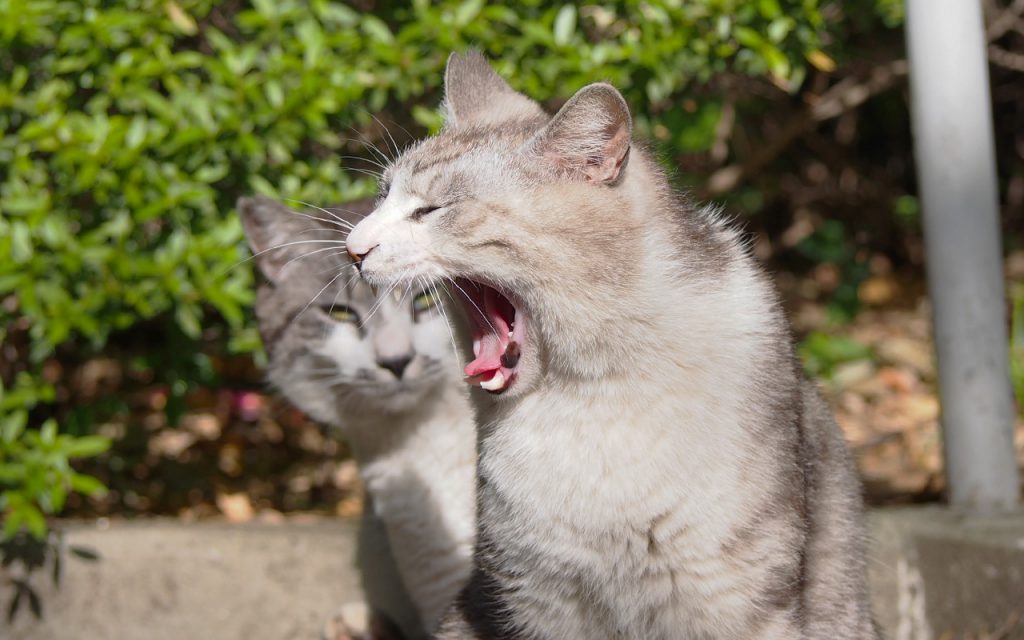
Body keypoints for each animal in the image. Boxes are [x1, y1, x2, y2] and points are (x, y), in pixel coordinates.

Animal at [346, 53, 880, 638]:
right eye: (384, 194)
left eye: (432, 210)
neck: (585, 397)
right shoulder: (537, 599)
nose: (352, 247)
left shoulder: (737, 602)